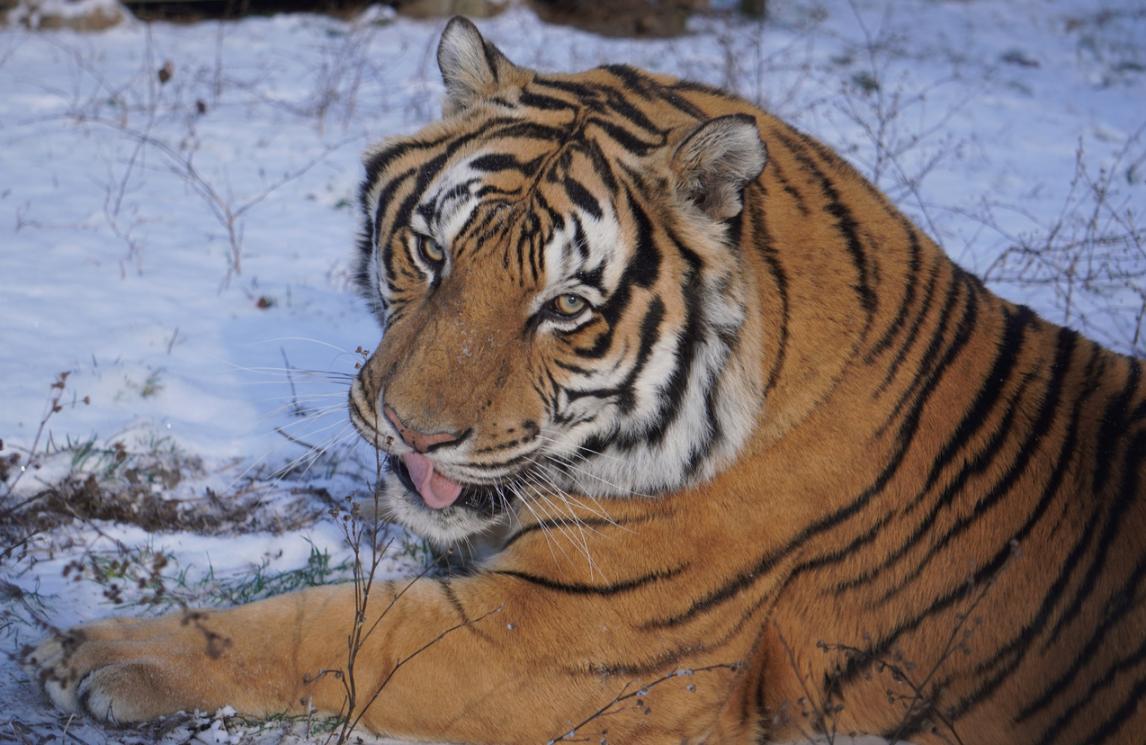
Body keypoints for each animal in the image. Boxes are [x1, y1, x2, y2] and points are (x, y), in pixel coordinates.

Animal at [26, 16, 1146, 745]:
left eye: (565, 308)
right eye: (431, 253)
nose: (409, 430)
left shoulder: (566, 641)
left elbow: (337, 623)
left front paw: (96, 657)